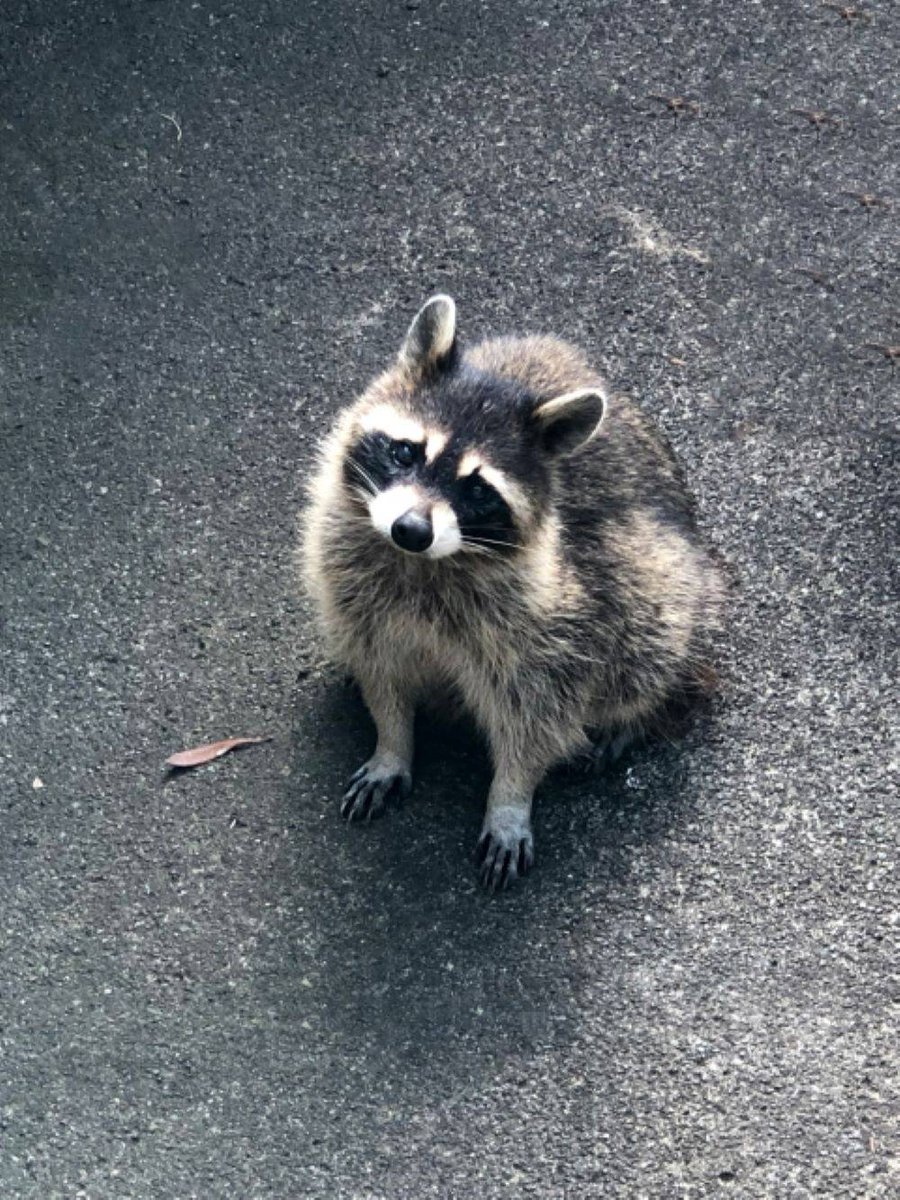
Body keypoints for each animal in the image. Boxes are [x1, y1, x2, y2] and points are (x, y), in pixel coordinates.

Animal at [303, 295, 724, 888]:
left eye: (478, 489)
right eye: (406, 453)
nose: (410, 529)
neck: (426, 564)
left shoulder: (555, 619)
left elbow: (535, 717)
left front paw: (509, 798)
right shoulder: (350, 578)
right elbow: (381, 672)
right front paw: (392, 742)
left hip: (659, 572)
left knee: (648, 634)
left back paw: (634, 715)